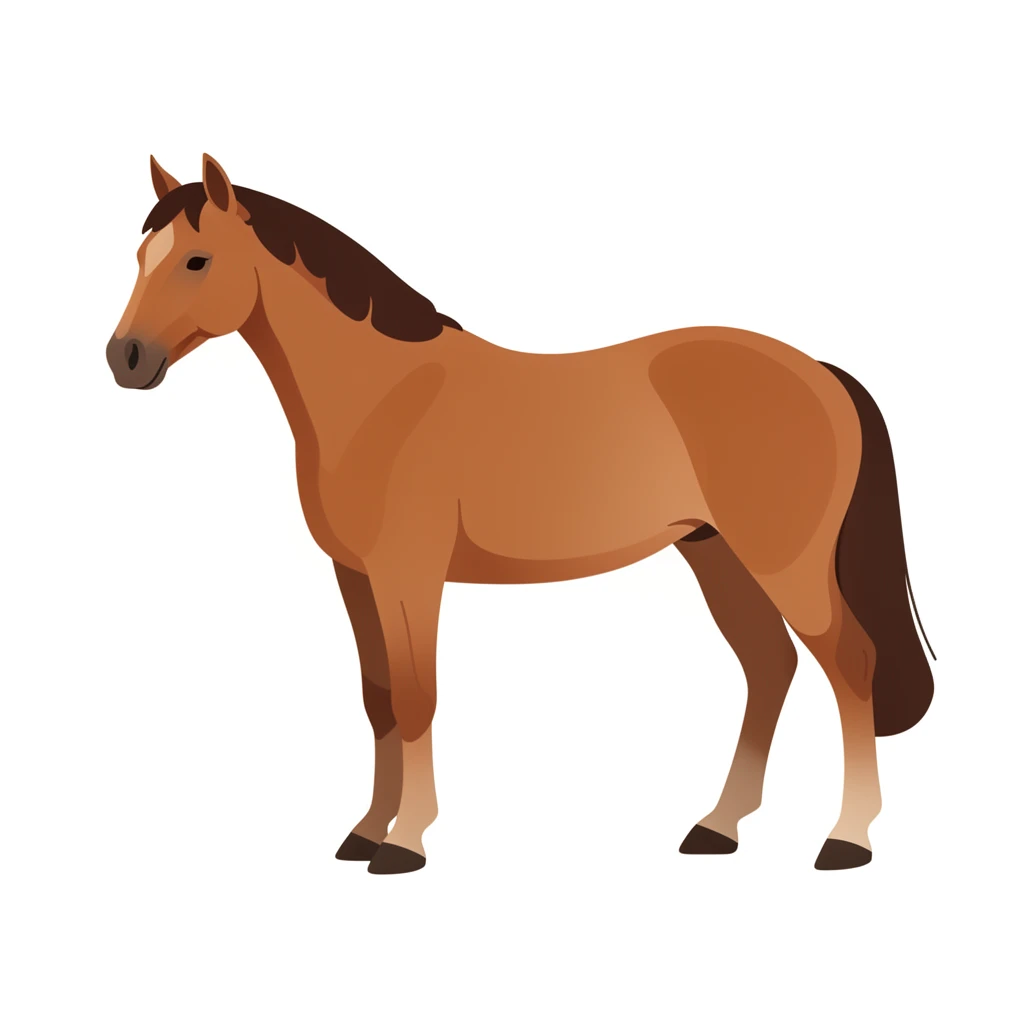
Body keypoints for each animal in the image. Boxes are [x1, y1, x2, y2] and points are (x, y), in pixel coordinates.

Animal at [106, 154, 934, 874]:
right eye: (141, 256)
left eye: (197, 261)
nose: (126, 359)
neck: (380, 395)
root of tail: (820, 373)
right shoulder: (354, 575)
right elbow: (378, 701)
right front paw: (365, 831)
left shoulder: (409, 575)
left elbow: (417, 697)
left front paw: (405, 842)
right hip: (714, 552)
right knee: (769, 668)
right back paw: (716, 827)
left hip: (783, 562)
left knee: (850, 667)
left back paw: (846, 839)